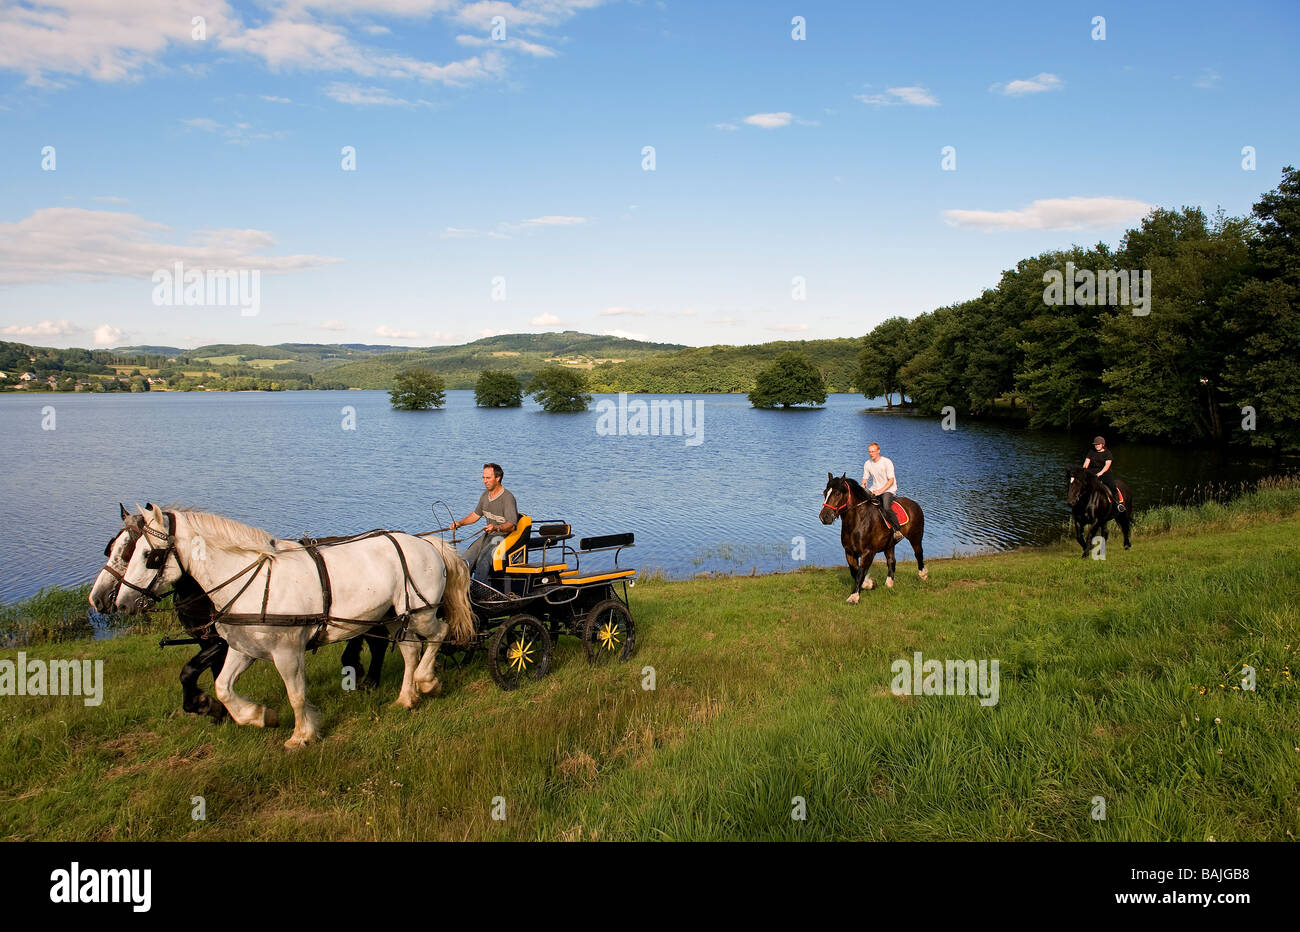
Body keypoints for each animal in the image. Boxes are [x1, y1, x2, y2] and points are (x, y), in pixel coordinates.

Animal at [115, 504, 473, 743]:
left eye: (148, 555)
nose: (120, 603)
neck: (252, 581)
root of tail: (426, 543)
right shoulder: (242, 648)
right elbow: (223, 688)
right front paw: (258, 716)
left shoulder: (287, 651)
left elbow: (296, 694)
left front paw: (301, 735)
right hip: (395, 615)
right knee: (410, 651)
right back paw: (406, 698)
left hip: (422, 612)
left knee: (439, 634)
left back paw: (427, 681)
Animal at [816, 473, 930, 603]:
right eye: (825, 492)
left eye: (837, 493)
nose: (824, 517)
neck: (857, 522)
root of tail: (914, 504)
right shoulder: (849, 551)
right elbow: (854, 571)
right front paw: (870, 584)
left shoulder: (868, 552)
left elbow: (860, 572)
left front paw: (854, 597)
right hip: (889, 544)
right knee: (891, 561)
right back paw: (889, 584)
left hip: (915, 537)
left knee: (918, 553)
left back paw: (923, 575)